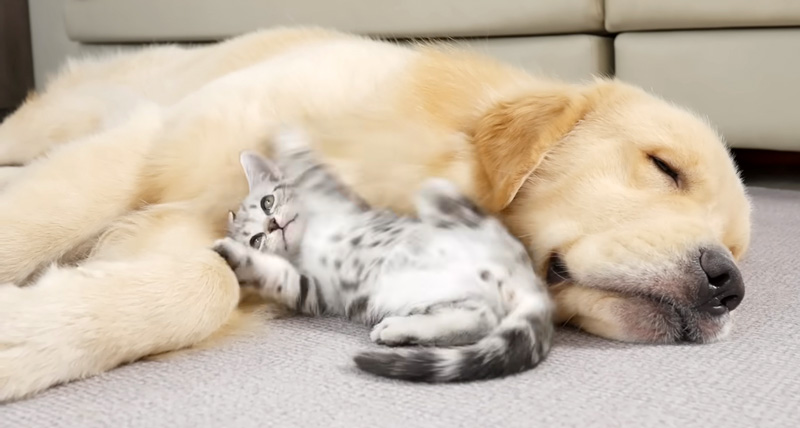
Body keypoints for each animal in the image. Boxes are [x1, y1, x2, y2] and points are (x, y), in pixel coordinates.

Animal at [214, 129, 556, 382]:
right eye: (256, 240)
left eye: (267, 203)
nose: (273, 225)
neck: (310, 235)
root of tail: (527, 286)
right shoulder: (318, 291)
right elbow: (279, 276)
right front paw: (232, 257)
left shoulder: (343, 200)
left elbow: (313, 171)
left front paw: (286, 139)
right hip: (409, 297)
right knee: (483, 317)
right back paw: (400, 329)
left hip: (470, 224)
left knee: (442, 199)